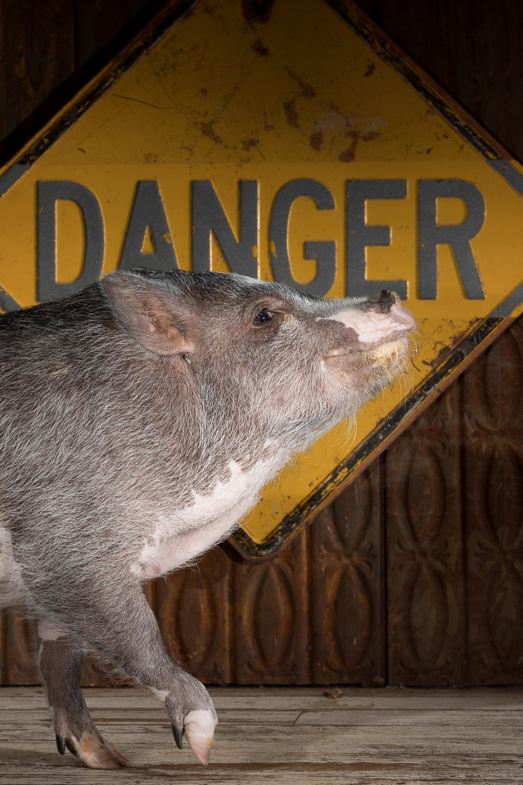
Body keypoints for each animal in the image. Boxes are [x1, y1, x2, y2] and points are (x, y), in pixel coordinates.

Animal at [0, 268, 415, 769]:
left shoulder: (55, 581)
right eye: (264, 315)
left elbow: (59, 651)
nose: (389, 294)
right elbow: (138, 635)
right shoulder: (67, 544)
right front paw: (200, 749)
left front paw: (111, 760)